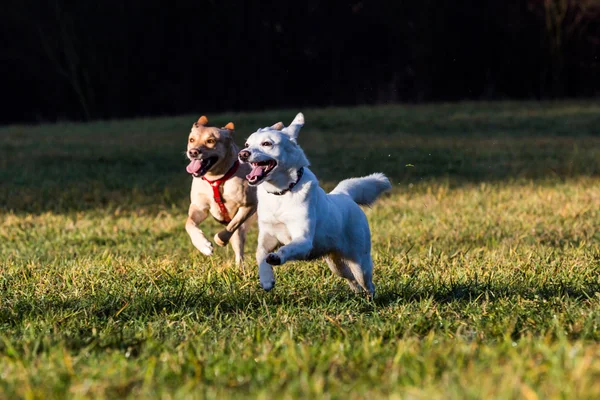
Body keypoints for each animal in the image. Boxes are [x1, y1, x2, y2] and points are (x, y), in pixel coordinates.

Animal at [184, 115, 256, 266]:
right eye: (191, 140)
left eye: (210, 141)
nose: (193, 152)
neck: (216, 179)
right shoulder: (199, 207)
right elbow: (189, 224)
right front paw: (203, 246)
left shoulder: (249, 205)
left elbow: (232, 226)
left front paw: (220, 240)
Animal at [237, 114, 392, 296]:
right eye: (247, 145)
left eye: (267, 144)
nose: (243, 154)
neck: (282, 193)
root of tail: (345, 195)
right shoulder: (268, 235)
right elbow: (260, 253)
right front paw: (266, 280)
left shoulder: (303, 240)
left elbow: (287, 249)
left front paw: (277, 257)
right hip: (336, 264)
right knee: (351, 279)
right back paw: (357, 295)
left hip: (360, 262)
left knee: (367, 283)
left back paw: (370, 299)